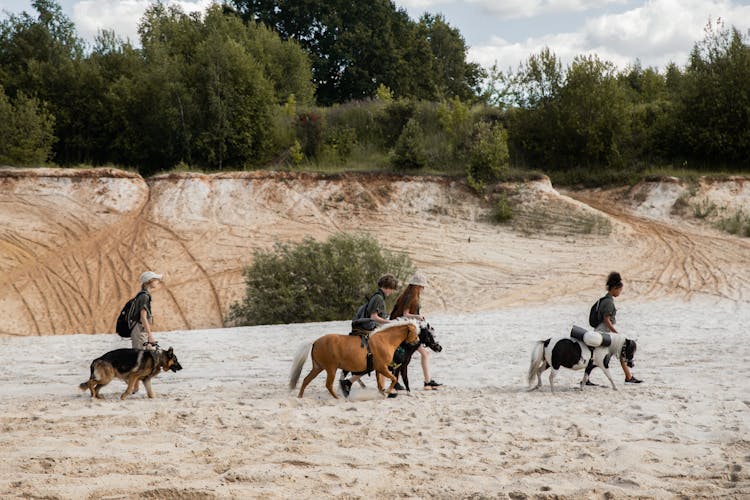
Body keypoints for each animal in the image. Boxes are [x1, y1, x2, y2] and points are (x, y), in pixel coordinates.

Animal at [290, 320, 420, 398]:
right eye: (415, 332)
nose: (418, 341)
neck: (385, 340)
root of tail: (315, 342)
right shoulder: (382, 368)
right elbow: (393, 379)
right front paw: (387, 391)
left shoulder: (378, 369)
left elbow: (379, 384)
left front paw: (383, 393)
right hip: (331, 368)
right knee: (328, 384)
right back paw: (337, 397)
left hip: (318, 367)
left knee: (306, 380)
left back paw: (300, 397)